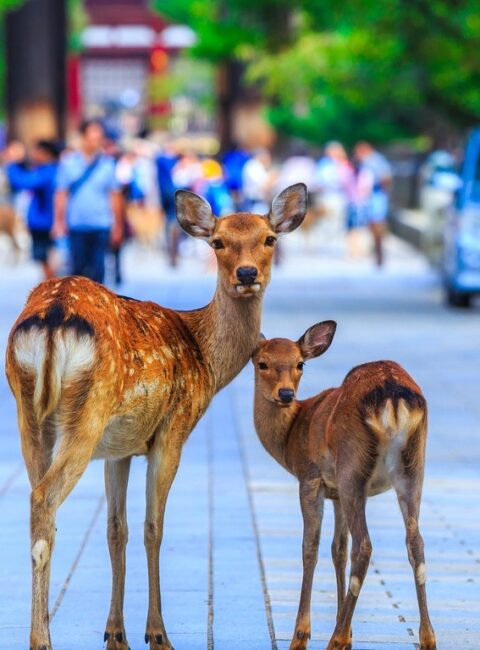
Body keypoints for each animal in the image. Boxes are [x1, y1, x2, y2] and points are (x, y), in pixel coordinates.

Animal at [4, 182, 308, 648]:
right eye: (218, 242)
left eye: (269, 239)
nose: (246, 274)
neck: (206, 360)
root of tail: (53, 317)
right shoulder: (172, 430)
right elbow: (153, 528)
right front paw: (157, 633)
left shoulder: (119, 447)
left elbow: (116, 529)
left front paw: (116, 633)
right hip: (87, 415)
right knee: (43, 499)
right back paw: (41, 639)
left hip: (29, 416)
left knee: (40, 503)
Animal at [253, 322, 436, 648]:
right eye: (262, 363)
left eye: (300, 364)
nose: (285, 394)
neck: (291, 436)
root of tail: (393, 396)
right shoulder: (335, 492)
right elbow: (338, 549)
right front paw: (349, 635)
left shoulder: (310, 477)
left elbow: (310, 547)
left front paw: (301, 636)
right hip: (414, 466)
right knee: (415, 542)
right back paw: (427, 639)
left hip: (353, 467)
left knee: (364, 546)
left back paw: (334, 639)